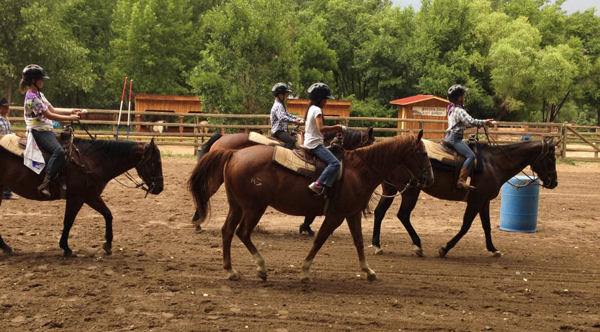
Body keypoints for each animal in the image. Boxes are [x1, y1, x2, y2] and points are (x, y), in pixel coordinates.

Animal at [0, 137, 164, 256]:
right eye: (156, 162)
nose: (160, 188)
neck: (91, 161)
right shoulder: (77, 198)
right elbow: (68, 222)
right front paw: (66, 248)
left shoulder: (91, 196)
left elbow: (108, 214)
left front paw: (108, 244)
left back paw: (6, 247)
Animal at [190, 131, 434, 282]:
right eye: (423, 153)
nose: (429, 179)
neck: (358, 170)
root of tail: (234, 153)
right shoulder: (336, 215)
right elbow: (320, 241)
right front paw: (305, 271)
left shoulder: (352, 213)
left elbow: (358, 242)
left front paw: (369, 271)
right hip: (253, 208)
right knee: (242, 232)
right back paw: (260, 267)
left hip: (237, 206)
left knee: (227, 231)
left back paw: (230, 270)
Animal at [370, 137, 556, 256]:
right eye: (551, 158)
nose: (554, 182)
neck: (494, 163)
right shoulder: (475, 201)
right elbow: (466, 226)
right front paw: (445, 249)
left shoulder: (484, 201)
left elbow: (486, 226)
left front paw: (493, 248)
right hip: (410, 191)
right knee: (403, 215)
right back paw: (418, 245)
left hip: (390, 189)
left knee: (380, 212)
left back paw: (377, 245)